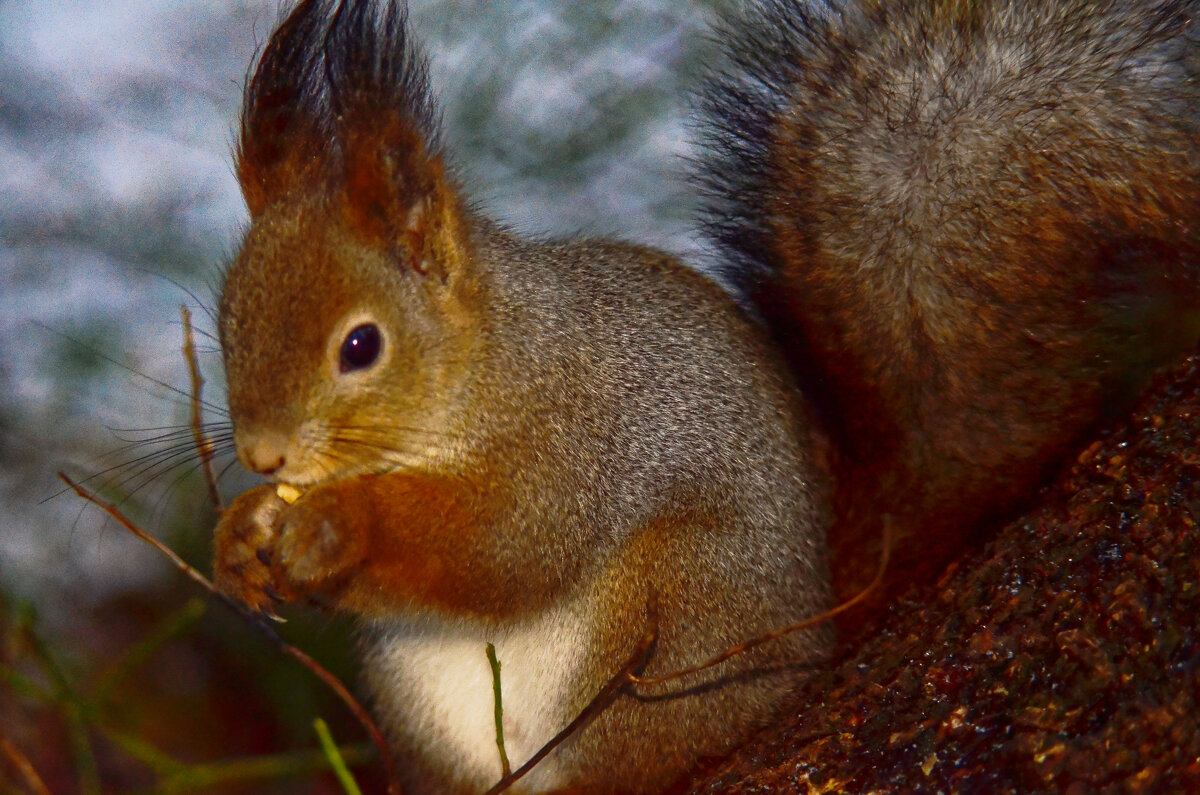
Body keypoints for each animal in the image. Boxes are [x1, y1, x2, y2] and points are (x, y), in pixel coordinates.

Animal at [213, 0, 1200, 792]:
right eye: (224, 322)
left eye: (360, 345)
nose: (263, 454)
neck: (481, 368)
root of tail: (817, 615)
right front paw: (238, 540)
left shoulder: (570, 433)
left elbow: (504, 545)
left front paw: (334, 527)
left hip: (678, 627)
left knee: (635, 758)